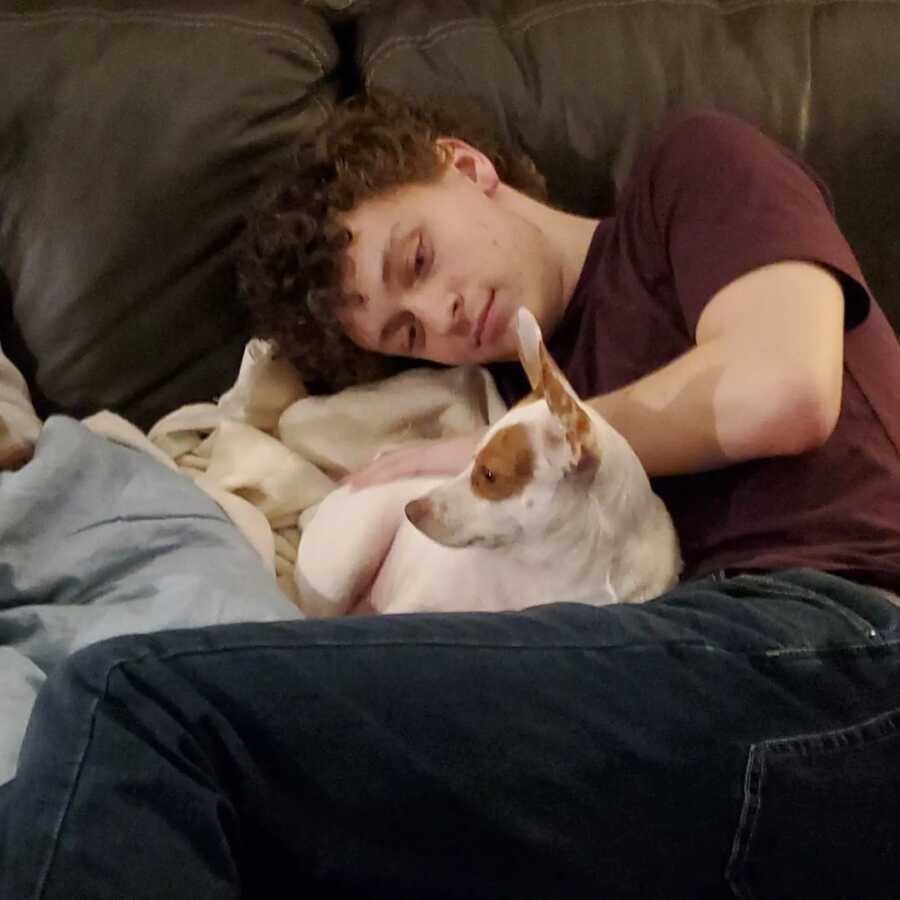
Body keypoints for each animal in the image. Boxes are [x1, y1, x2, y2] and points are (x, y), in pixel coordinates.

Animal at [298, 306, 684, 616]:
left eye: (488, 474)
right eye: (469, 461)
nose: (410, 510)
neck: (547, 571)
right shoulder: (406, 607)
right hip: (343, 568)